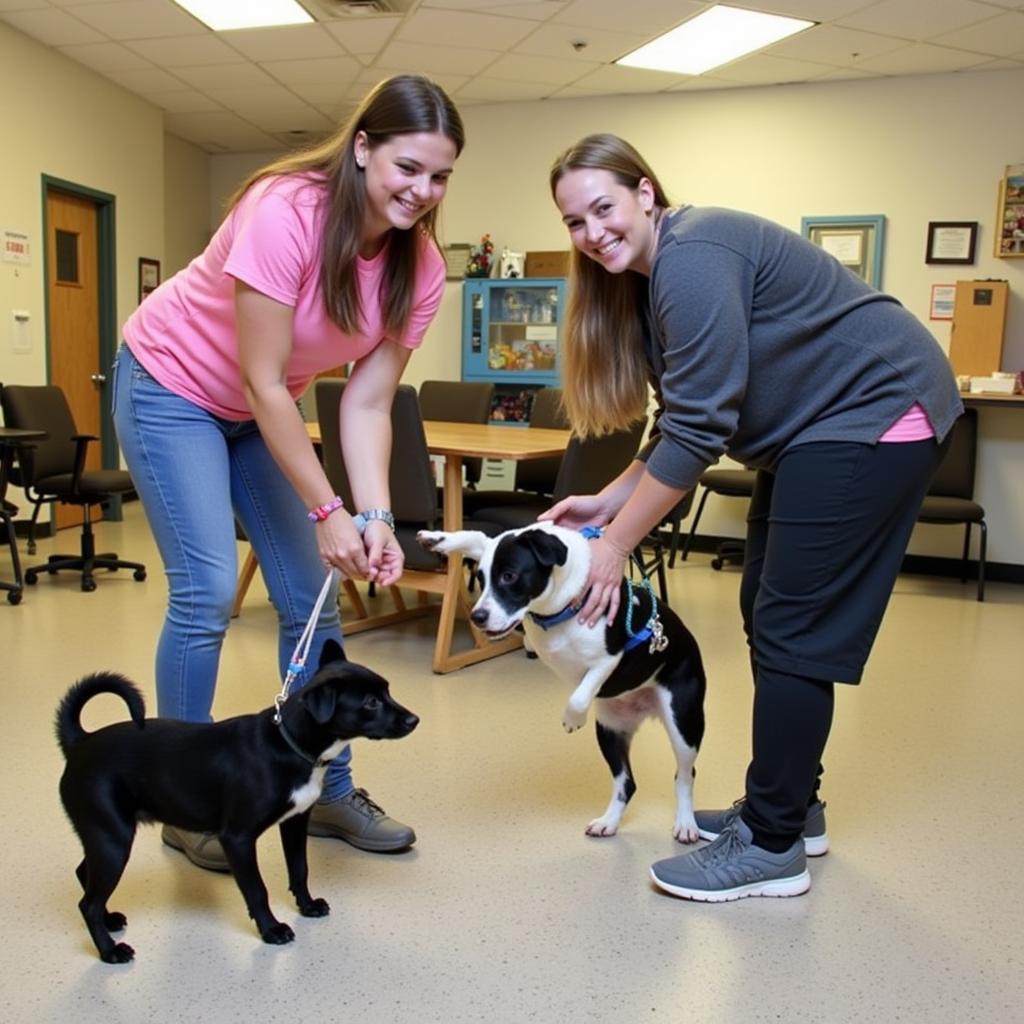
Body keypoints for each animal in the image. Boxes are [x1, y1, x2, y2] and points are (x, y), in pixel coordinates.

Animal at [54, 643, 415, 962]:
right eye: (371, 702)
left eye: (387, 691)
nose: (415, 720)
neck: (287, 743)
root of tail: (80, 743)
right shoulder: (237, 839)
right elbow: (256, 889)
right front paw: (271, 929)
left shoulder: (295, 823)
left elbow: (300, 869)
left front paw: (307, 905)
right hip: (113, 839)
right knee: (87, 904)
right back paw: (109, 950)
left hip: (104, 837)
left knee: (84, 875)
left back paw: (109, 919)